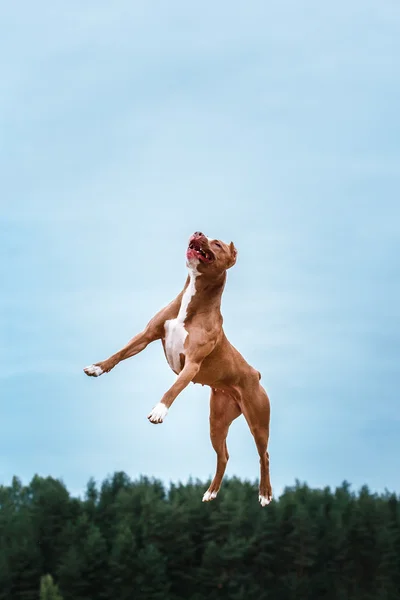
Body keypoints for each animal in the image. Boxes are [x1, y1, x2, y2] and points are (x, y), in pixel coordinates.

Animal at [84, 232, 272, 504]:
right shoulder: (145, 336)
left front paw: (159, 411)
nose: (198, 233)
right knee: (223, 456)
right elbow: (119, 354)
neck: (192, 303)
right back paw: (211, 492)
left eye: (217, 244)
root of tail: (255, 373)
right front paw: (97, 367)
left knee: (263, 455)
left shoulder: (191, 364)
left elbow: (171, 389)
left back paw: (265, 494)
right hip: (217, 421)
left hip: (258, 422)